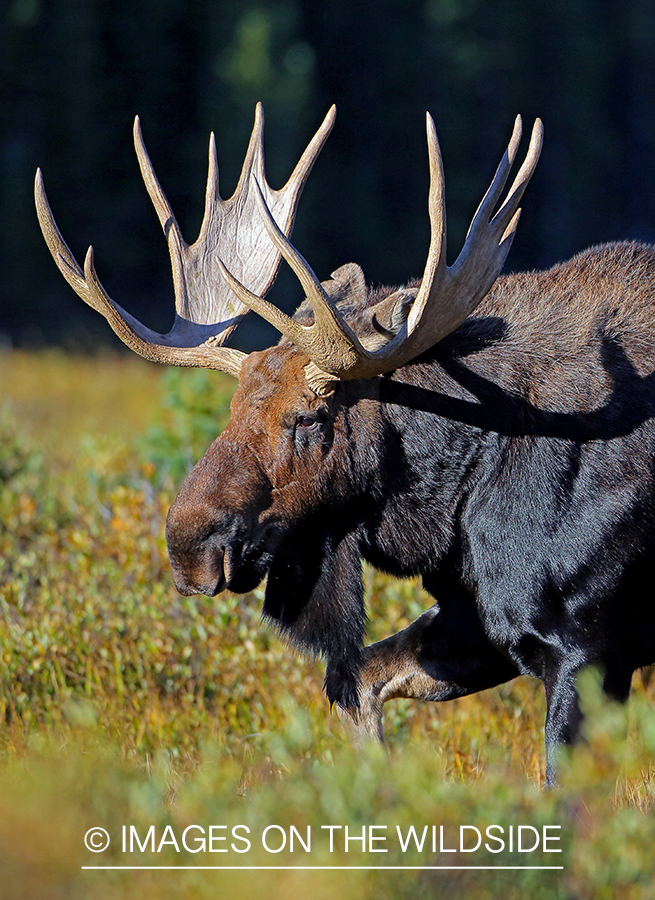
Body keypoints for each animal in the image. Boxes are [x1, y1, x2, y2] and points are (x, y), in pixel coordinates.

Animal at [34, 103, 655, 780]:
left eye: (308, 417)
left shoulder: (587, 643)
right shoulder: (480, 619)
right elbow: (354, 684)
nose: (188, 545)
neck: (461, 491)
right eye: (231, 409)